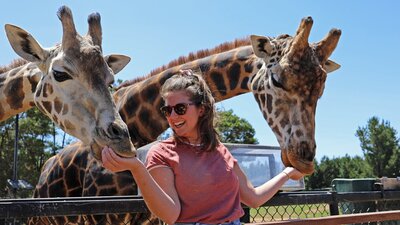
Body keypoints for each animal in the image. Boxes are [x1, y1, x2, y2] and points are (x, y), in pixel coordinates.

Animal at [29, 16, 340, 225]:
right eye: (276, 80)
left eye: (322, 88)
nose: (303, 159)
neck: (138, 122)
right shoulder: (102, 215)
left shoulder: (153, 213)